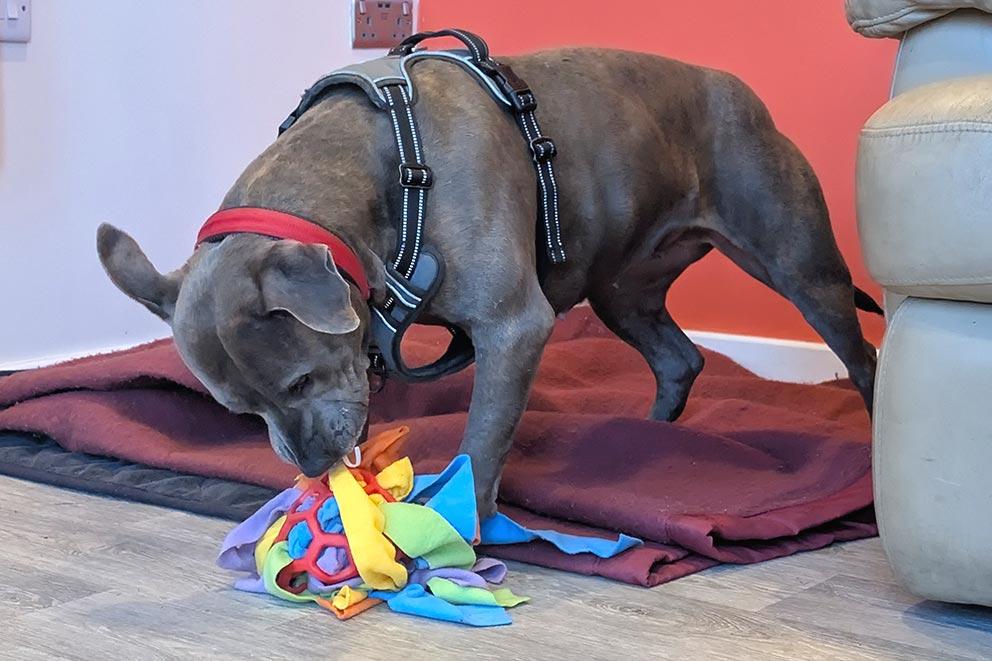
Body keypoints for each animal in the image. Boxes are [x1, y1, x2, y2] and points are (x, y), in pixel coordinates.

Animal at [99, 50, 876, 516]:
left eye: (296, 382)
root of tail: (737, 89)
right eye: (240, 411)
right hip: (621, 289)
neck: (391, 169)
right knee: (678, 357)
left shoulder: (512, 327)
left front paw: (460, 533)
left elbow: (481, 438)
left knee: (863, 355)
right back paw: (643, 440)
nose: (315, 465)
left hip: (801, 266)